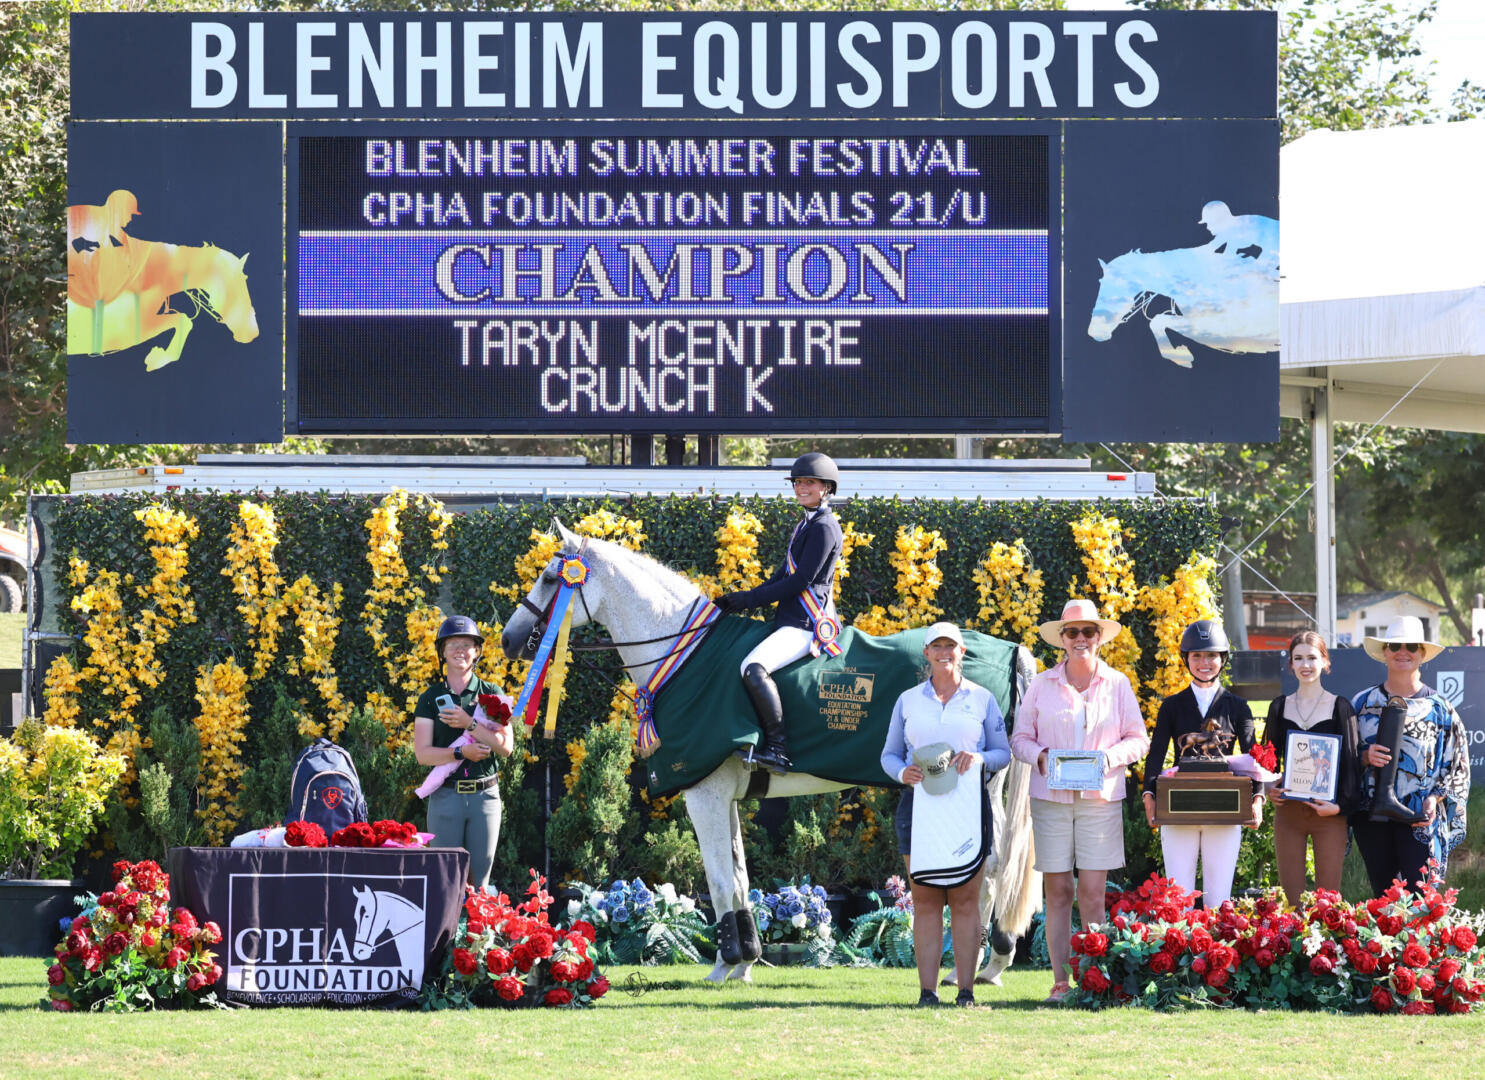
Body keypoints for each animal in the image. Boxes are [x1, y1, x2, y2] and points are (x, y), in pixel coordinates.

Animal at [504, 522, 1039, 986]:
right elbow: (740, 876)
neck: (684, 655)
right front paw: (745, 962)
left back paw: (982, 963)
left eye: (551, 578)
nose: (510, 640)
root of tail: (1012, 652)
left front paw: (725, 965)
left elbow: (720, 880)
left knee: (991, 865)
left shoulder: (704, 793)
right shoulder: (725, 794)